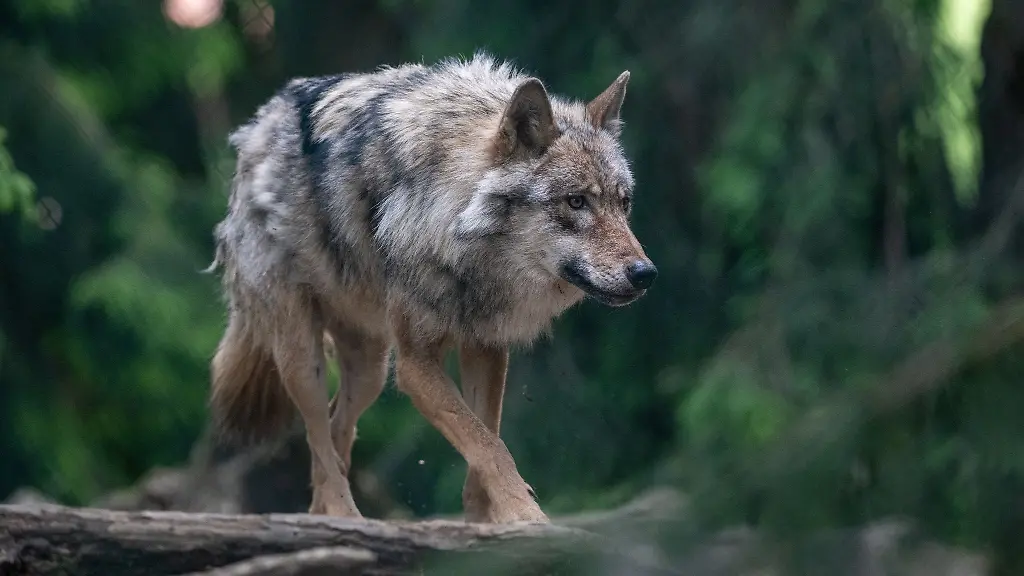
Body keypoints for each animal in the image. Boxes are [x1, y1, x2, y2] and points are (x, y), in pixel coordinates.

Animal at [206, 52, 657, 524]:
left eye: (624, 203)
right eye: (576, 202)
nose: (645, 273)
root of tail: (258, 125)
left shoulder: (486, 348)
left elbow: (485, 441)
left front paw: (485, 522)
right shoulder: (415, 365)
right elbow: (489, 446)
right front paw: (526, 516)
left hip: (369, 370)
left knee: (335, 432)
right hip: (304, 358)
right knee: (319, 440)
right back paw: (345, 516)